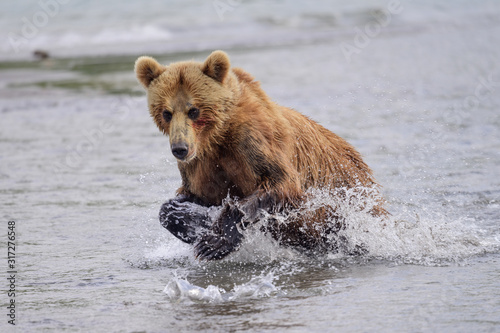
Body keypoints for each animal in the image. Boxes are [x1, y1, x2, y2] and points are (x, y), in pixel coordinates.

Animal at [134, 50, 386, 260]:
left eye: (193, 110)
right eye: (166, 112)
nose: (180, 148)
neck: (217, 138)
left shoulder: (253, 141)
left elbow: (281, 183)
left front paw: (213, 242)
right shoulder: (201, 164)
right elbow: (190, 197)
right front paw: (186, 216)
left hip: (345, 195)